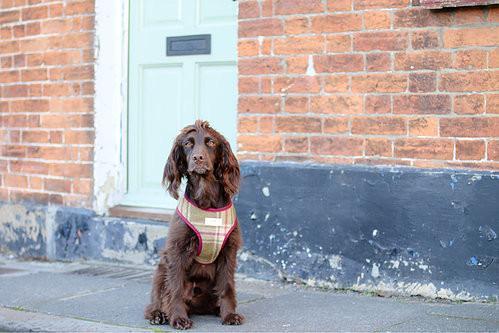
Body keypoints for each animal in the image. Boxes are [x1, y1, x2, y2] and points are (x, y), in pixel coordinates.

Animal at [145, 120, 244, 328]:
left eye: (211, 142)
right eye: (187, 144)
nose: (198, 158)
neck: (206, 202)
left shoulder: (228, 250)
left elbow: (227, 286)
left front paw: (229, 314)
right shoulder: (177, 250)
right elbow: (175, 288)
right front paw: (178, 318)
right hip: (161, 269)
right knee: (157, 298)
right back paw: (158, 314)